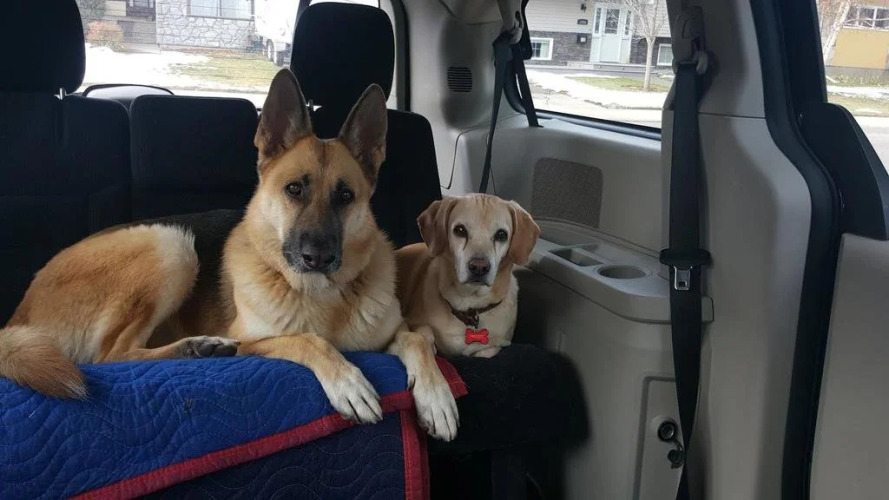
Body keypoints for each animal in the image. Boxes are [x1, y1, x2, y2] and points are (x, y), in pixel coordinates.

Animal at [0, 69, 459, 441]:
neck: (323, 297)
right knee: (110, 356)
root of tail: (19, 313)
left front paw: (436, 398)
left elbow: (418, 340)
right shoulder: (254, 341)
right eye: (294, 189)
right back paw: (197, 348)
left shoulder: (393, 334)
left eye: (345, 197)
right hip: (172, 245)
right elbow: (307, 340)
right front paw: (348, 380)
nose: (317, 258)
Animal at [395, 194, 540, 358]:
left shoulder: (497, 345)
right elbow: (426, 332)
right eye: (460, 230)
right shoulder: (412, 321)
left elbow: (488, 351)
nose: (479, 267)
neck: (470, 304)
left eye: (502, 235)